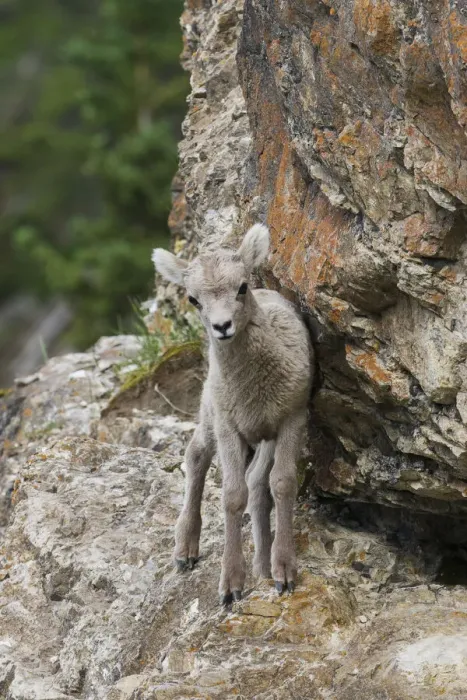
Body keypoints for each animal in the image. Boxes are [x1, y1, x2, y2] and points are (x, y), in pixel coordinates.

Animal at [152, 224, 314, 604]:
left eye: (241, 287)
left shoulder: (291, 417)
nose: (222, 326)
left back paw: (262, 564)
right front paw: (230, 586)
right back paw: (185, 550)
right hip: (210, 413)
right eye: (194, 300)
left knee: (256, 482)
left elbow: (280, 484)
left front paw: (283, 572)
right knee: (196, 455)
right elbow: (232, 495)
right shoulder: (229, 427)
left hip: (263, 436)